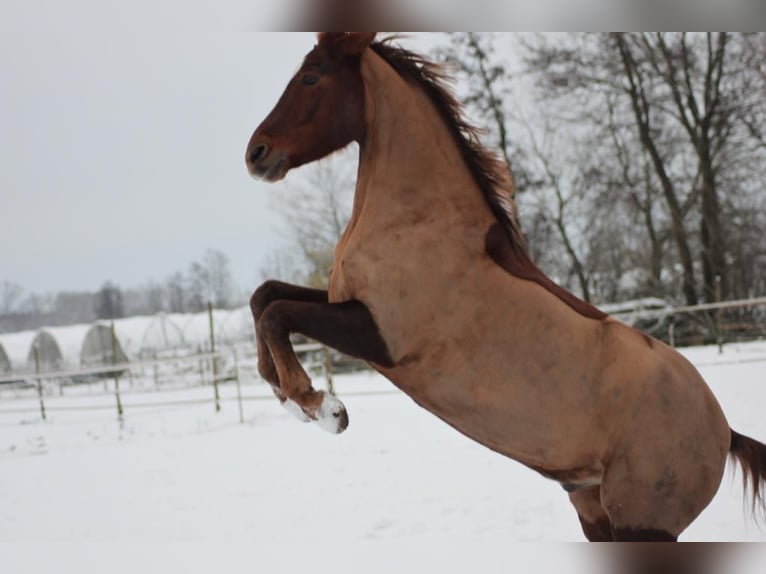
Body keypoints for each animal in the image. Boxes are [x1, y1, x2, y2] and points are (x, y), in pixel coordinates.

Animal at [244, 32, 766, 541]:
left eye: (312, 77)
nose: (256, 154)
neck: (420, 222)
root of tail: (724, 431)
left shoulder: (377, 333)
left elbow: (277, 314)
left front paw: (322, 408)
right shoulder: (345, 303)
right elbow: (264, 297)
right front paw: (289, 398)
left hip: (642, 525)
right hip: (593, 511)